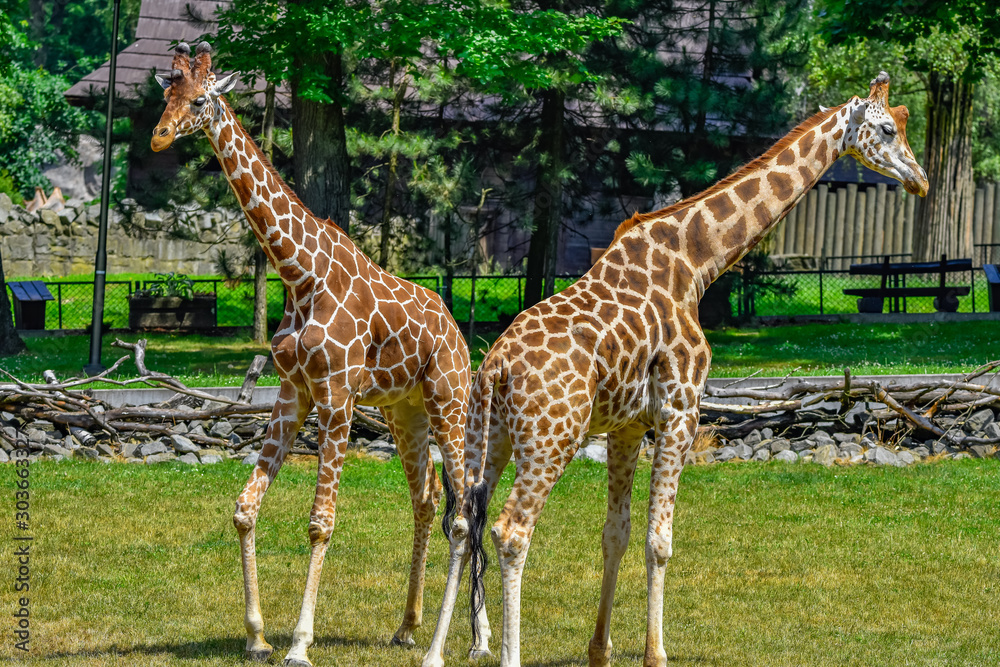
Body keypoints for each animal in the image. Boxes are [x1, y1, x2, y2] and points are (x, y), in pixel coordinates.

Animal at [150, 42, 472, 667]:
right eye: (166, 94)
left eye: (199, 99)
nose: (158, 136)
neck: (299, 274)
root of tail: (457, 331)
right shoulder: (291, 392)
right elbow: (245, 507)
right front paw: (256, 635)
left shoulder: (337, 396)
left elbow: (321, 522)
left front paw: (299, 642)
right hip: (405, 412)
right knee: (426, 501)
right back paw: (407, 626)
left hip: (450, 401)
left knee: (464, 516)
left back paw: (449, 645)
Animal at [421, 72, 928, 667]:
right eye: (888, 128)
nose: (919, 179)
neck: (697, 264)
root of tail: (496, 366)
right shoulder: (681, 409)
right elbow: (659, 540)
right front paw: (656, 653)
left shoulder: (626, 425)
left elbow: (615, 533)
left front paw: (600, 648)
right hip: (552, 436)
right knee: (510, 531)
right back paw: (507, 652)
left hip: (489, 436)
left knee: (463, 522)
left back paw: (436, 653)